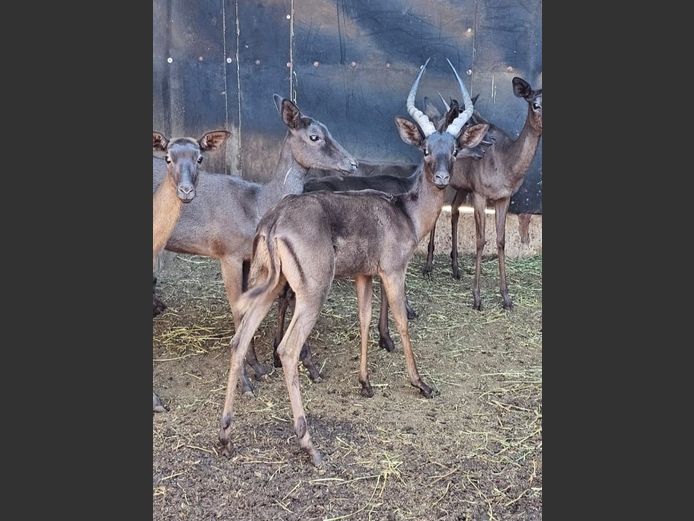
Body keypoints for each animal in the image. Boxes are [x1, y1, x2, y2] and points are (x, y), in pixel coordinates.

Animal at [218, 59, 490, 466]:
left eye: (454, 148)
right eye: (426, 148)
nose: (443, 178)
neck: (404, 212)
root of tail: (275, 219)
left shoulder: (364, 276)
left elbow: (363, 320)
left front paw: (365, 383)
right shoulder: (393, 272)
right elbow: (401, 322)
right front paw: (421, 383)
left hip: (270, 284)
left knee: (239, 340)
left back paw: (225, 436)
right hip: (312, 292)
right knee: (287, 350)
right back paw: (310, 446)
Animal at [422, 78, 542, 310]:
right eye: (534, 104)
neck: (506, 167)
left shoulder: (504, 197)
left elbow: (501, 240)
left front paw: (506, 298)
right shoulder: (479, 192)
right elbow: (480, 240)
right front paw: (477, 298)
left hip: (461, 185)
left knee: (454, 212)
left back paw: (456, 267)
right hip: (441, 180)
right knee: (437, 213)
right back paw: (428, 266)